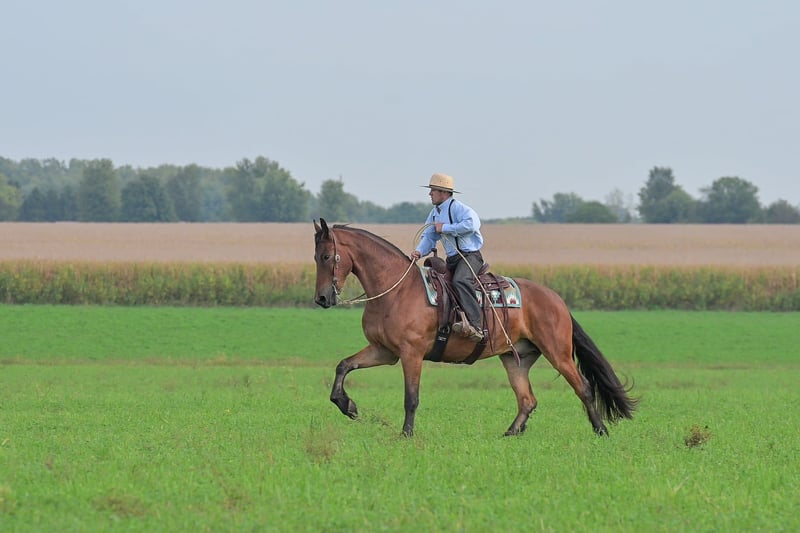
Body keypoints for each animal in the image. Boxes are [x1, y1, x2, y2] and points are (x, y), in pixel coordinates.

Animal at [313, 218, 636, 437]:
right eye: (316, 257)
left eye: (327, 256)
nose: (321, 298)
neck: (397, 290)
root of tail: (556, 299)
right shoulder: (384, 351)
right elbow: (343, 366)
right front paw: (347, 405)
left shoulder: (410, 353)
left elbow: (411, 397)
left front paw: (406, 434)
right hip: (516, 358)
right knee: (527, 399)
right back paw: (509, 434)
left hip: (558, 352)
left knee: (583, 387)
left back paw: (601, 431)